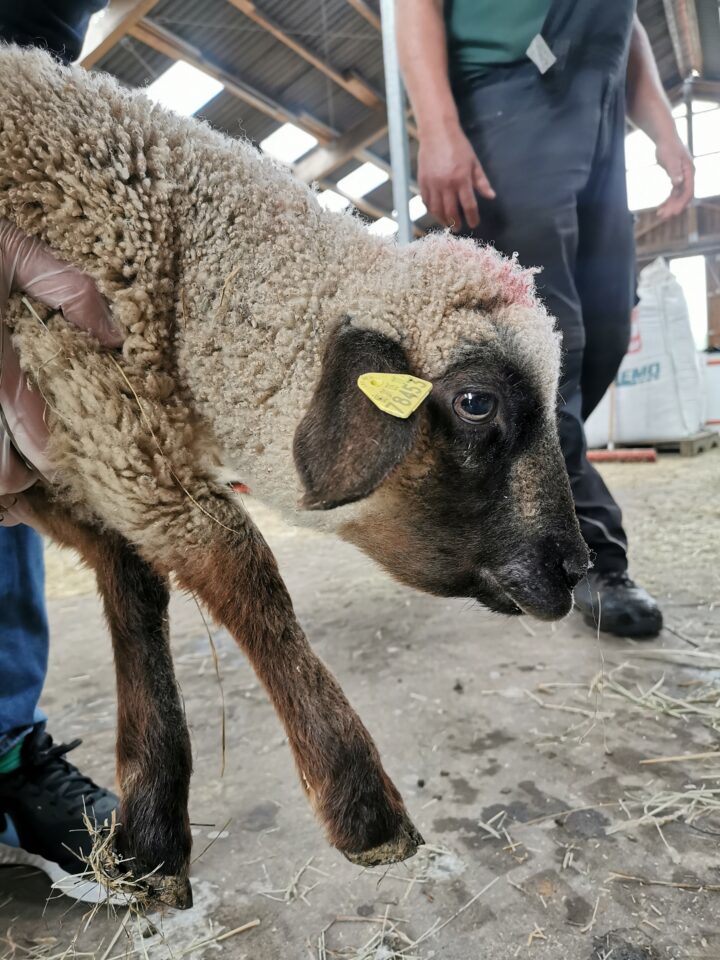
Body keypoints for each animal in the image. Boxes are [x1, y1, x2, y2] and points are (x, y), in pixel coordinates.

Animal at [0, 48, 588, 908]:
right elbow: (237, 569)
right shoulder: (86, 393)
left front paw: (149, 830)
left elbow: (132, 580)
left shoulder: (57, 438)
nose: (578, 567)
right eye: (477, 402)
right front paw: (363, 806)